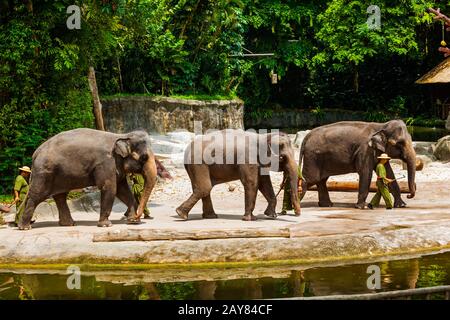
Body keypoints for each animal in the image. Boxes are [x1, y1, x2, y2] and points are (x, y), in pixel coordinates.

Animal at [17, 128, 157, 230]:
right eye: (144, 157)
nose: (136, 217)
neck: (122, 135)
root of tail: (36, 153)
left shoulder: (116, 166)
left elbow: (122, 190)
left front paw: (133, 221)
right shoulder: (106, 163)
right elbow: (110, 188)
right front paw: (106, 225)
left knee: (60, 196)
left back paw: (69, 224)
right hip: (44, 173)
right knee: (37, 196)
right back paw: (25, 227)